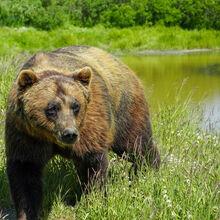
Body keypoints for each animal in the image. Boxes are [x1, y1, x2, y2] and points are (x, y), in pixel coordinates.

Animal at [4, 45, 160, 219]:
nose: (69, 133)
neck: (50, 137)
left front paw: (94, 199)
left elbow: (91, 162)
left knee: (135, 144)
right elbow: (25, 172)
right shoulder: (25, 133)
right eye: (52, 108)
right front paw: (28, 212)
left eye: (75, 106)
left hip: (124, 107)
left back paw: (148, 169)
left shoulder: (90, 122)